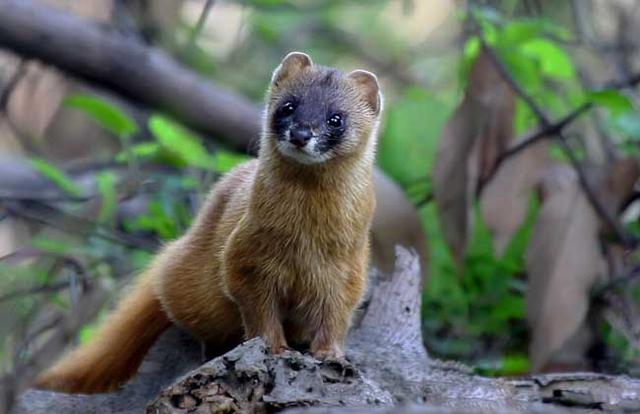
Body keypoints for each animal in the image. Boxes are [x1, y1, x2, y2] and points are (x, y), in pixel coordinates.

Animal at [36, 53, 380, 392]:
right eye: (288, 106)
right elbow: (259, 311)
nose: (300, 134)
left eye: (336, 118)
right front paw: (276, 349)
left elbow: (335, 316)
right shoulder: (246, 258)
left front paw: (331, 355)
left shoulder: (348, 271)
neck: (305, 240)